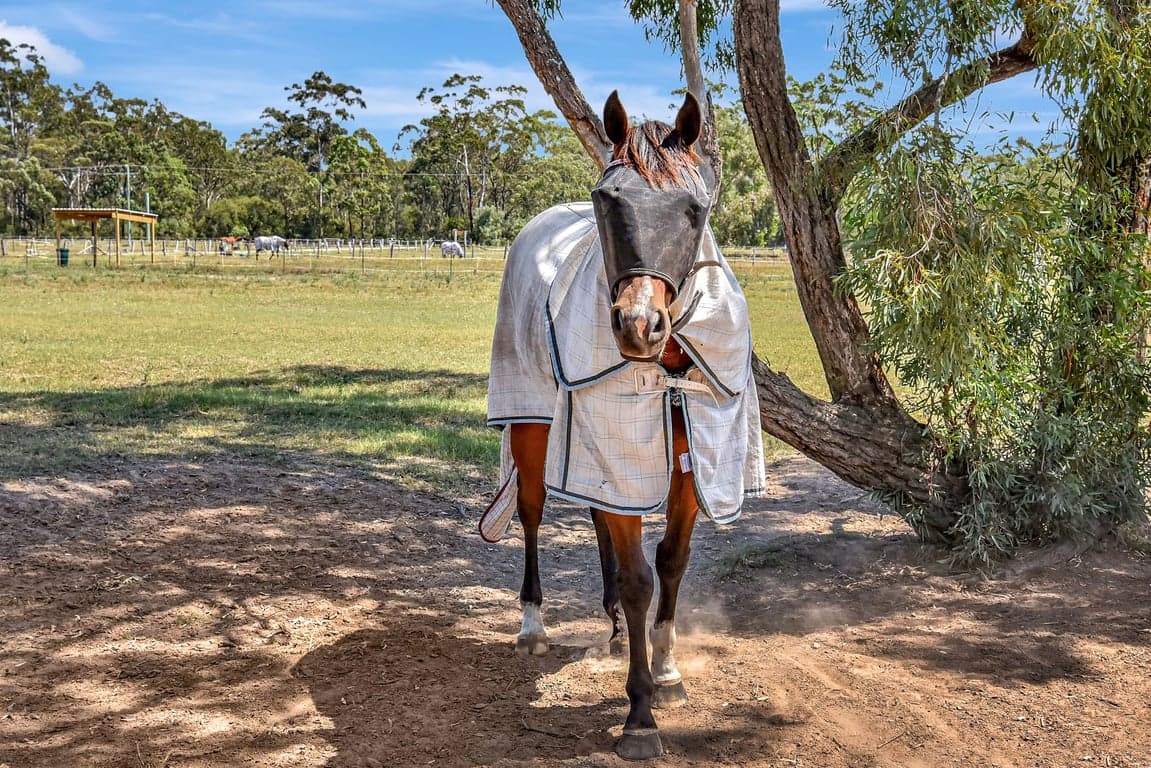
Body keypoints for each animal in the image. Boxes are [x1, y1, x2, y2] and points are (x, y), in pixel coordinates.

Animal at [483, 91, 764, 760]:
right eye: (606, 198)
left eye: (695, 207)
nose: (640, 324)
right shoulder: (617, 448)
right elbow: (639, 578)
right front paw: (639, 714)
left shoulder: (690, 462)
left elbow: (671, 562)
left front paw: (667, 670)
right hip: (534, 425)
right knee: (532, 513)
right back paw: (532, 623)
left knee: (595, 517)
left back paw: (611, 625)